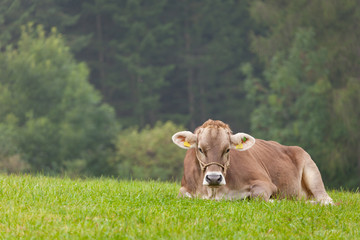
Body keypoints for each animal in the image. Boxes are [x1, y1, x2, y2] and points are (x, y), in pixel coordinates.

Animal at [173, 119, 334, 204]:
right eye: (200, 149)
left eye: (227, 149)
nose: (213, 178)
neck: (214, 192)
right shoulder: (184, 188)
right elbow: (183, 195)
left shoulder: (266, 183)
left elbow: (258, 196)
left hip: (311, 170)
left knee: (325, 199)